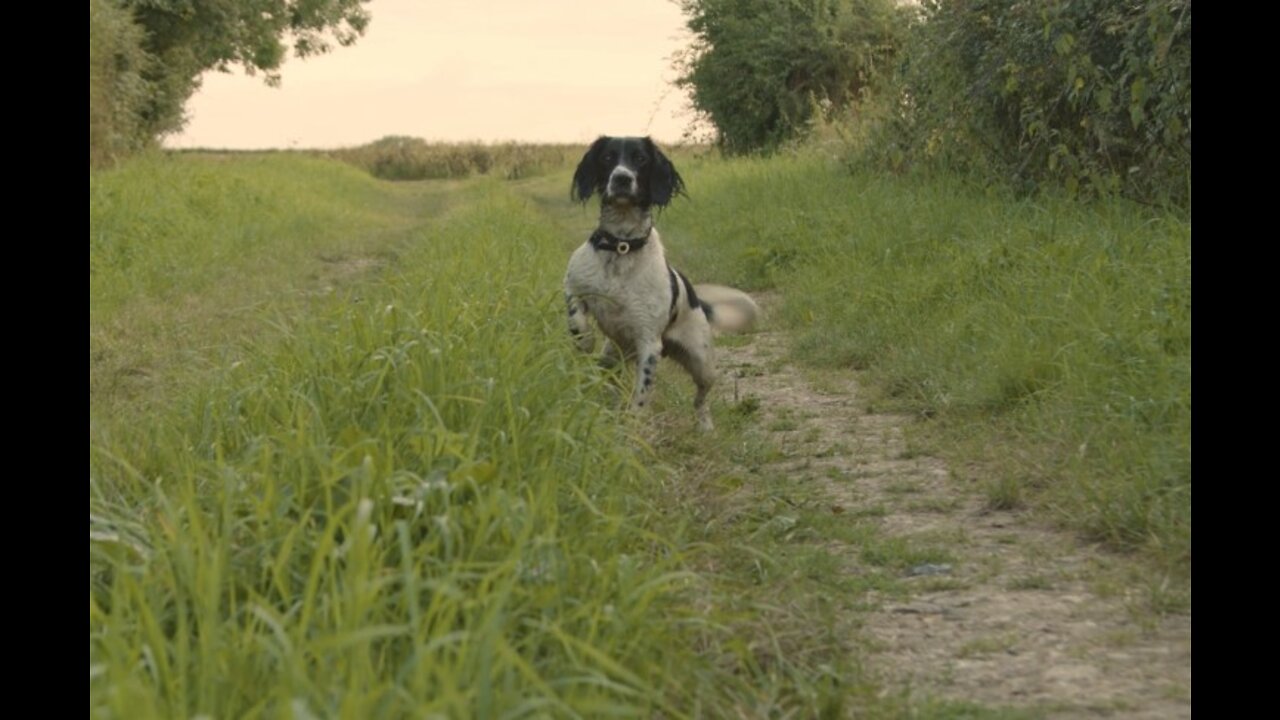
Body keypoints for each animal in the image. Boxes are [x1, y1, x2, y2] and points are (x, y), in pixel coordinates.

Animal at [563, 136, 757, 427]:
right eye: (607, 157)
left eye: (641, 159)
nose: (622, 178)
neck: (621, 248)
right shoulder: (573, 284)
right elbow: (577, 319)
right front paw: (584, 340)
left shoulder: (648, 342)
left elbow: (641, 396)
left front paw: (632, 425)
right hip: (612, 356)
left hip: (702, 362)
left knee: (701, 399)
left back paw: (705, 427)